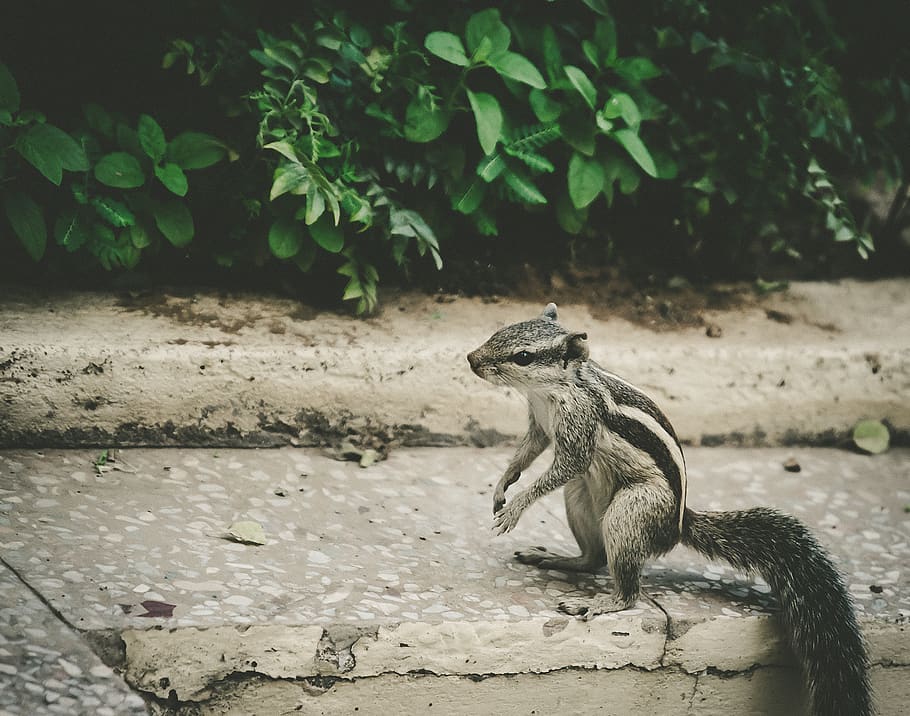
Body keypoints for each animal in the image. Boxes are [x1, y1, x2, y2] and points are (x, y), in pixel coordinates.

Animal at [467, 303, 870, 716]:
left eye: (523, 356)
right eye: (500, 331)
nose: (471, 359)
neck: (550, 391)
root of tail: (675, 527)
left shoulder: (579, 430)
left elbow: (566, 465)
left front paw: (516, 506)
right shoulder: (539, 425)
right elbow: (528, 450)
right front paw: (503, 483)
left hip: (630, 512)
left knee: (627, 588)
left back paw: (602, 603)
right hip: (580, 498)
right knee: (594, 557)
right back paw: (559, 559)